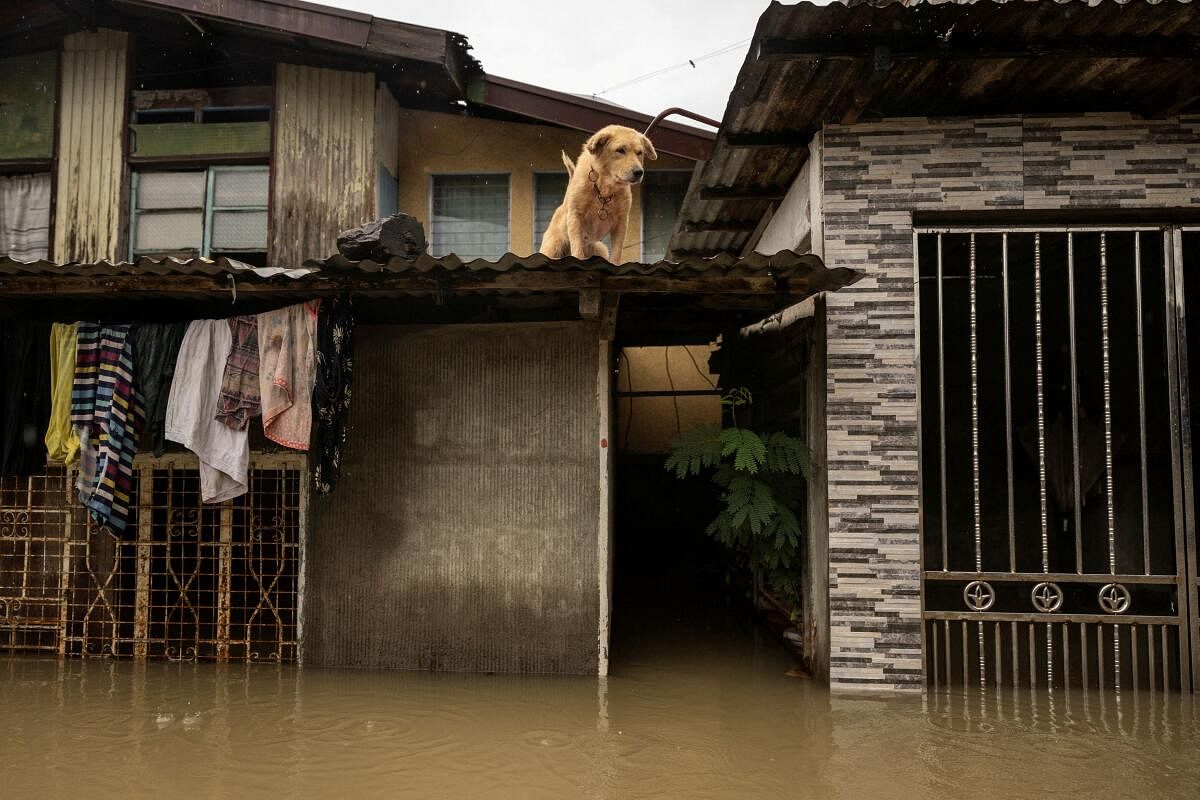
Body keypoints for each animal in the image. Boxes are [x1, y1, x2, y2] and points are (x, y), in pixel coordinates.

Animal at [542, 125, 657, 262]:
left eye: (639, 153)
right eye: (620, 150)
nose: (639, 172)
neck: (604, 190)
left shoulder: (621, 222)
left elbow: (616, 252)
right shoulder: (575, 218)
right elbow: (577, 250)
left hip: (600, 249)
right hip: (553, 246)